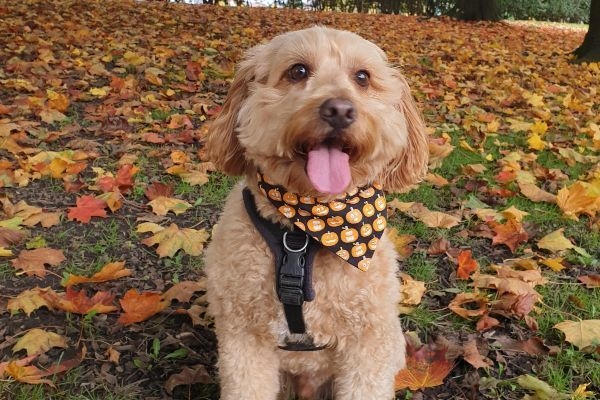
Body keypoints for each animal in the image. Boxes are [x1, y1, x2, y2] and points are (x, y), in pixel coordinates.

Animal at [204, 26, 428, 398]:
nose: (339, 110)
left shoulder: (370, 341)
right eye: (297, 71)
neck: (306, 231)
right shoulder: (242, 334)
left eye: (362, 77)